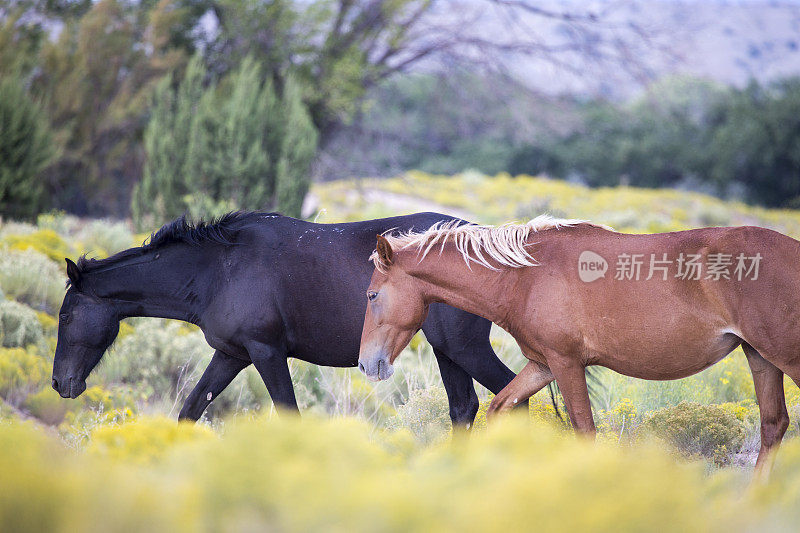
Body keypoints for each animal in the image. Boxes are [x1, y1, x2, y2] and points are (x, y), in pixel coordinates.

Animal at [53, 210, 516, 426]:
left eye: (66, 316)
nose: (60, 383)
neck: (217, 269)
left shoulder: (267, 352)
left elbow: (288, 412)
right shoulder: (232, 355)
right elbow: (190, 410)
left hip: (464, 348)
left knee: (510, 394)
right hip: (448, 350)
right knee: (464, 408)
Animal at [360, 214, 800, 468]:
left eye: (372, 294)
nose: (367, 363)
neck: (525, 275)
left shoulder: (567, 364)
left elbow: (584, 431)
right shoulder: (542, 365)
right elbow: (501, 408)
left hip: (787, 359)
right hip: (760, 357)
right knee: (773, 425)